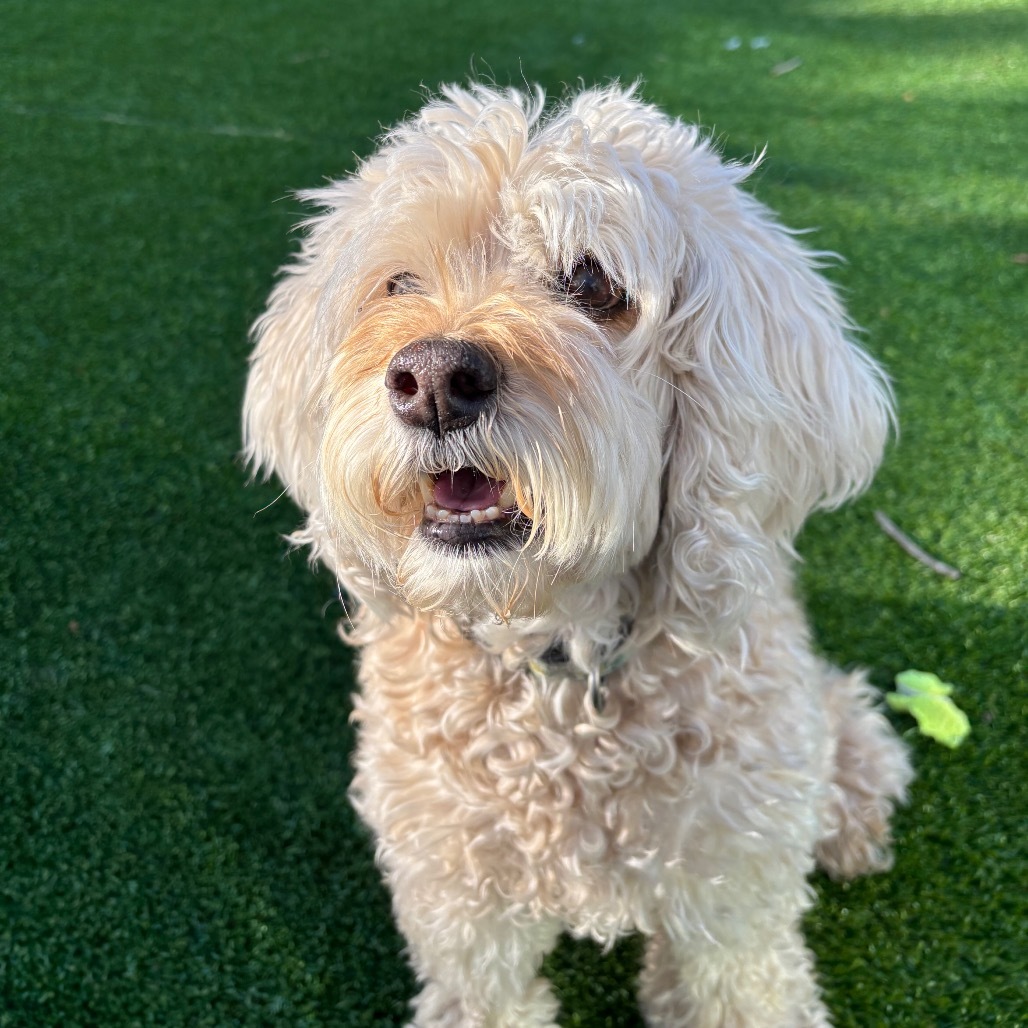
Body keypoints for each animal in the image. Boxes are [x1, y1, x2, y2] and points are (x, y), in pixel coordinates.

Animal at [244, 86, 912, 1028]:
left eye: (592, 282)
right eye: (398, 283)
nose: (433, 379)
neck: (561, 667)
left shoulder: (733, 907)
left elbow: (745, 984)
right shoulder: (463, 918)